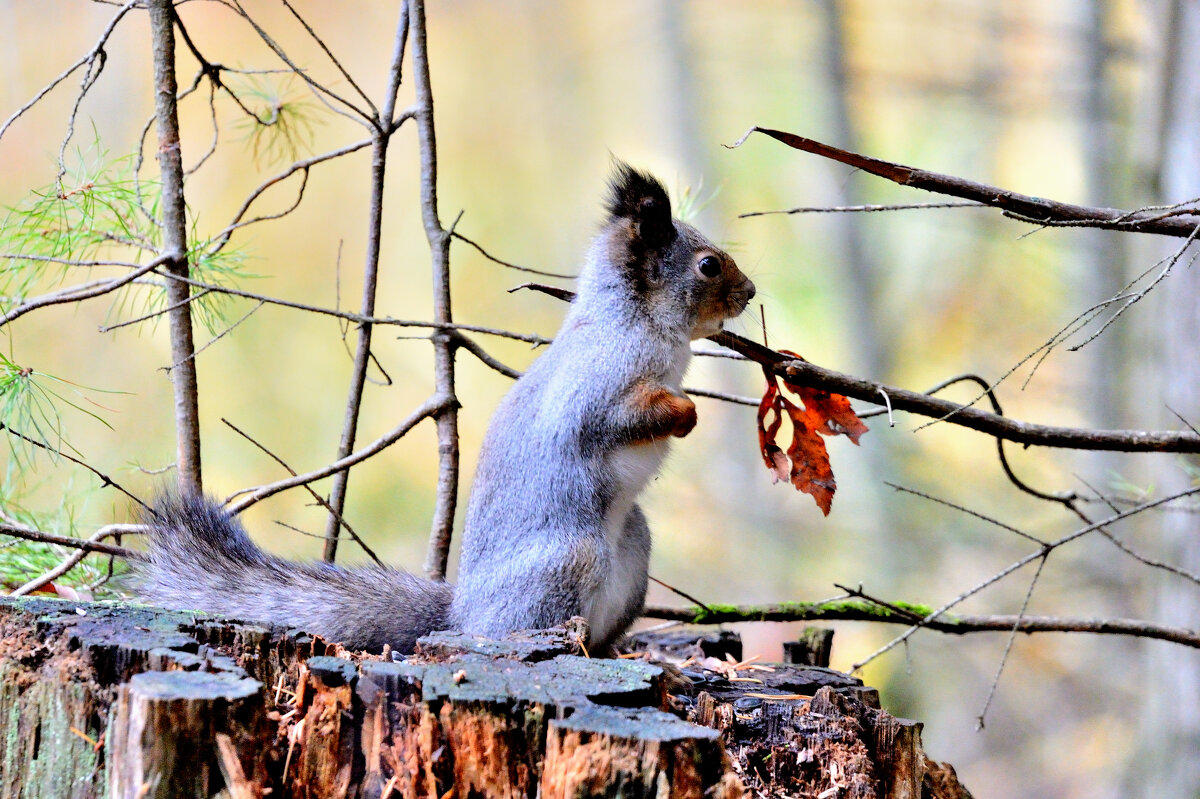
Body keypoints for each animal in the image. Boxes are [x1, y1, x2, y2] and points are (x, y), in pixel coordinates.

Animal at [140, 163, 753, 652]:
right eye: (708, 266)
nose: (749, 292)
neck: (638, 323)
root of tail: (463, 613)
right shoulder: (596, 386)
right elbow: (615, 419)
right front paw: (687, 414)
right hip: (569, 561)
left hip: (633, 549)